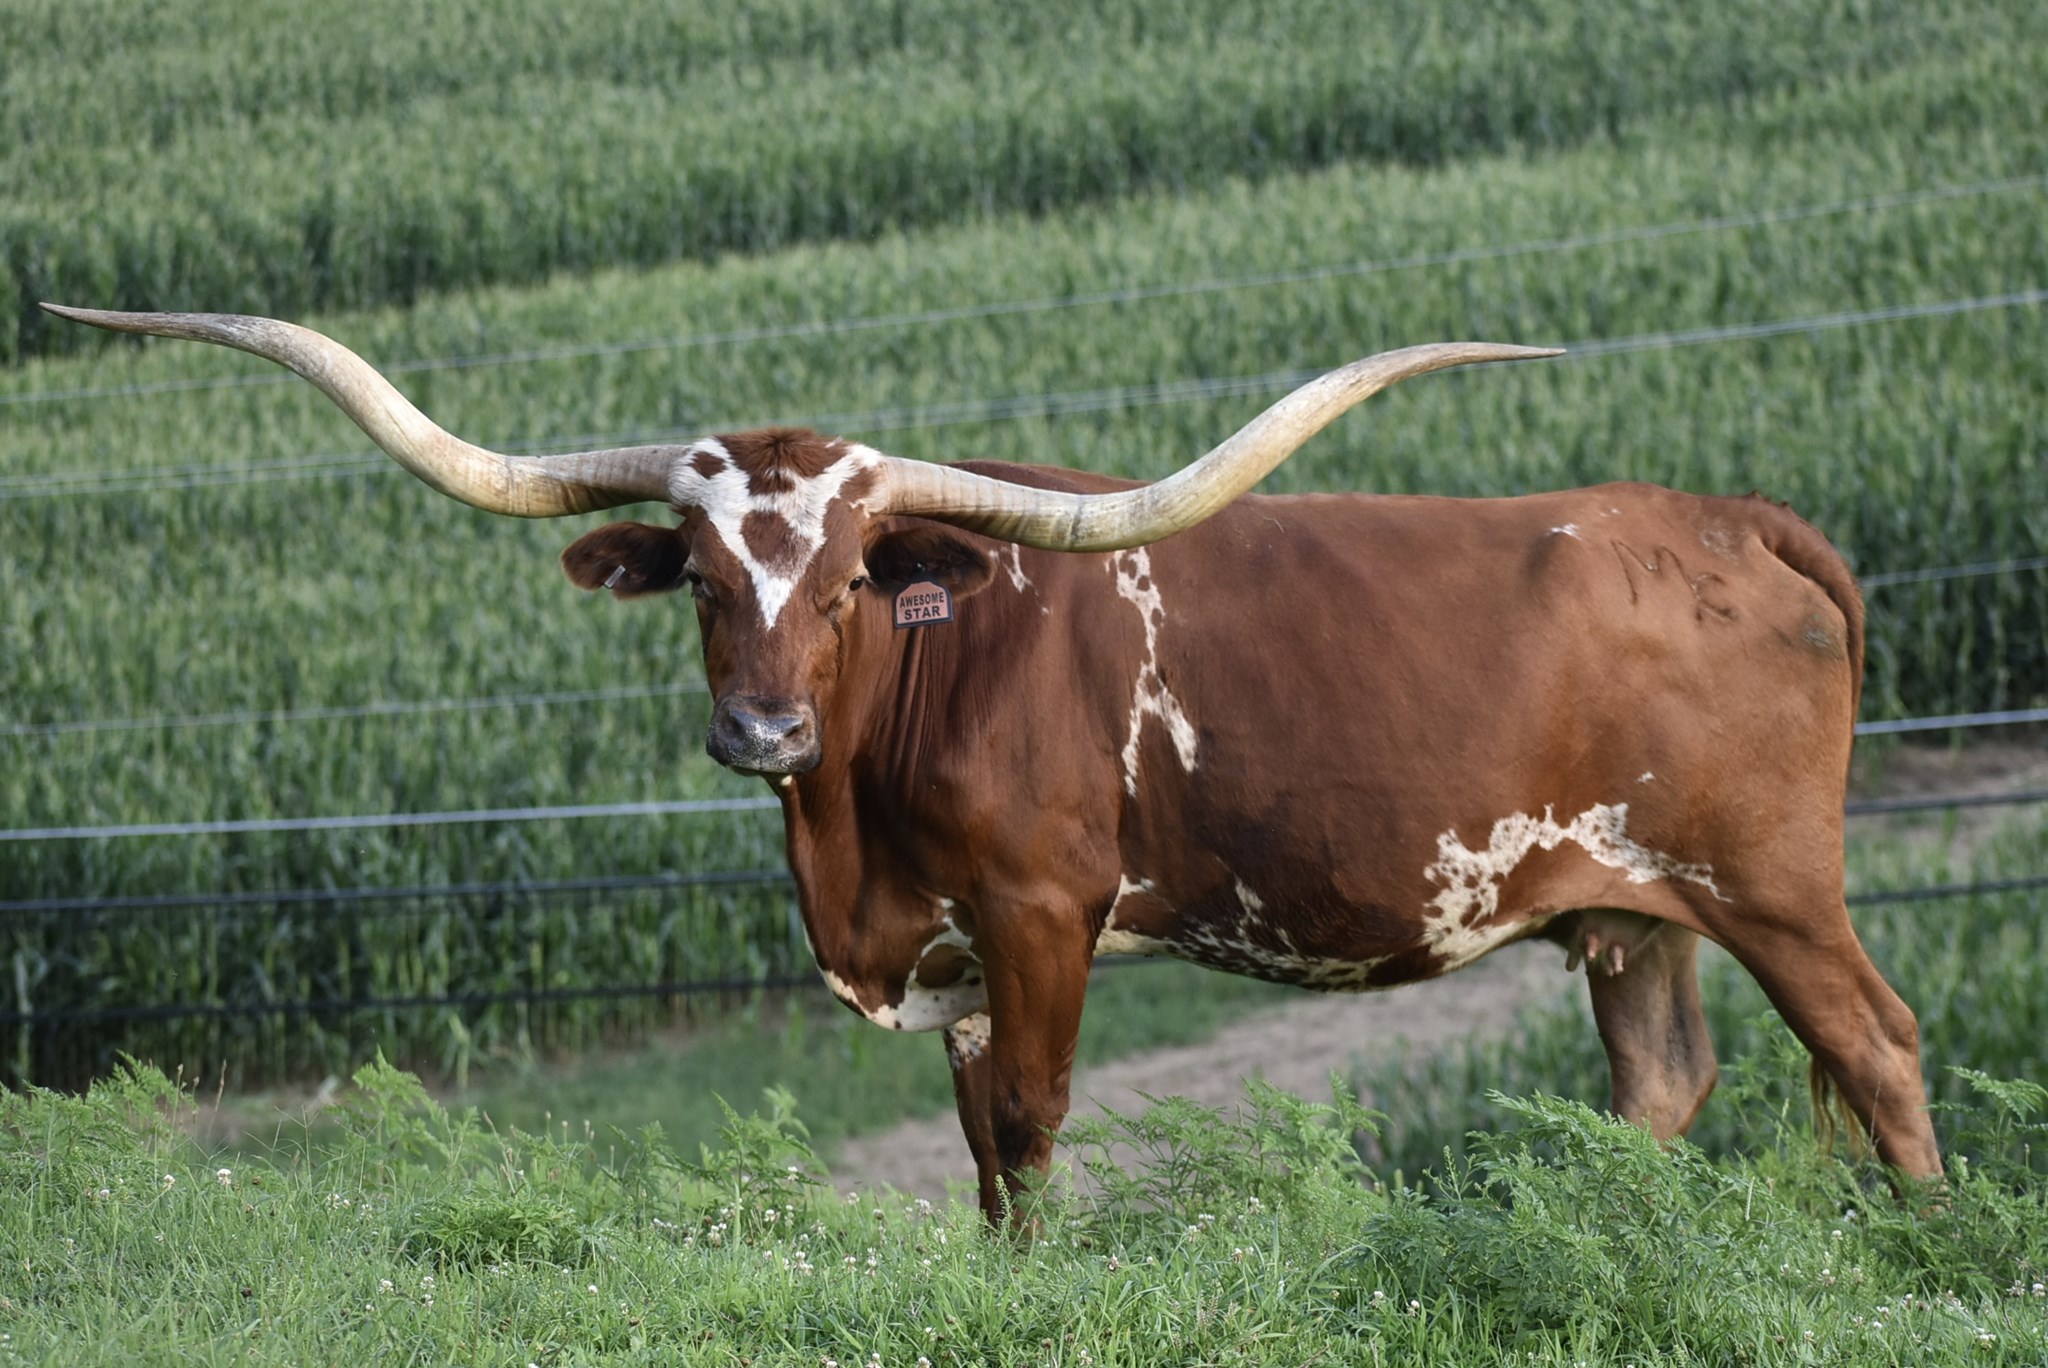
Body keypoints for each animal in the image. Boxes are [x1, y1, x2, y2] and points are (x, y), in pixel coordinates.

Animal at [45, 303, 1942, 1219]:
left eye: (843, 583)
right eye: (705, 579)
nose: (761, 729)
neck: (850, 836)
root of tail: (1724, 515)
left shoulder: (1038, 914)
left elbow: (1031, 1130)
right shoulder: (953, 955)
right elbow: (974, 1156)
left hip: (1771, 882)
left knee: (1877, 1044)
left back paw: (1929, 1247)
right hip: (1633, 913)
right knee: (1661, 1085)